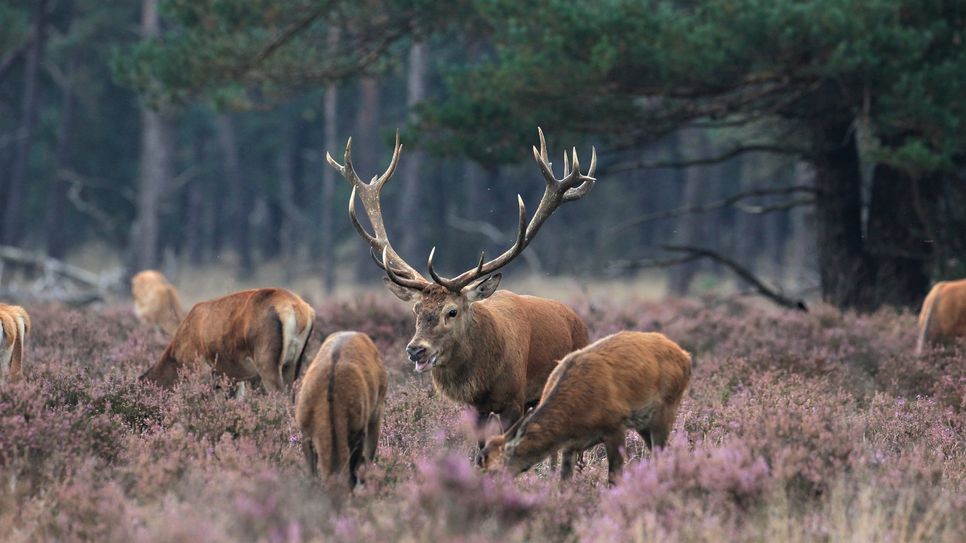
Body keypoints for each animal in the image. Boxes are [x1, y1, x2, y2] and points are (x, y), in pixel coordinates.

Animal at [296, 332, 388, 488]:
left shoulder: (358, 430)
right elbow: (312, 475)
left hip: (377, 408)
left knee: (369, 457)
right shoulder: (305, 431)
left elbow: (353, 475)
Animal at [328, 129, 596, 450]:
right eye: (416, 309)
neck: (484, 380)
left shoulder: (515, 400)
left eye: (452, 311)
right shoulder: (476, 409)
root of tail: (578, 320)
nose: (415, 349)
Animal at [478, 334, 692, 486]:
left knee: (662, 453)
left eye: (494, 471)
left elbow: (614, 477)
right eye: (480, 466)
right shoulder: (570, 444)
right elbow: (564, 481)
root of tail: (686, 357)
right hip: (644, 422)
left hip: (666, 408)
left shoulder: (615, 425)